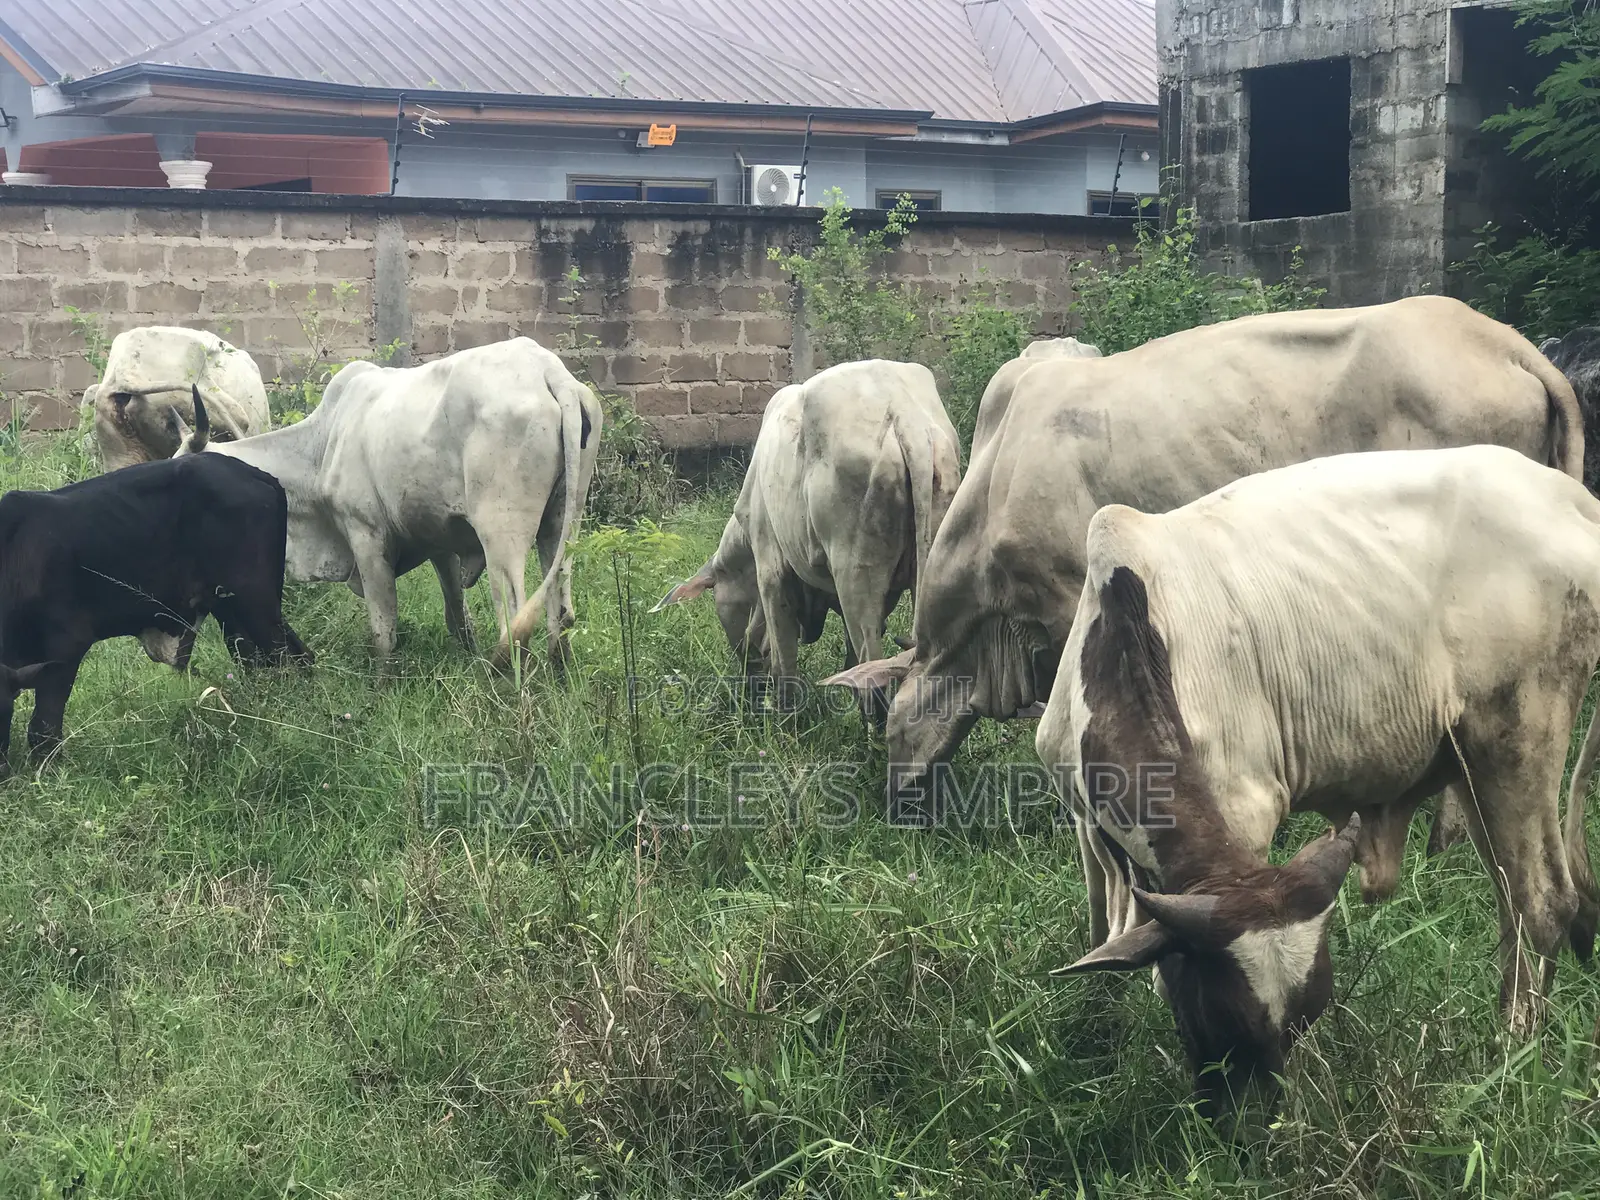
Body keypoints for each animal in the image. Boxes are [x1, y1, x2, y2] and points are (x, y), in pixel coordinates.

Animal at [0, 451, 310, 775]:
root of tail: (256, 474)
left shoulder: (67, 645)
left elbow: (43, 727)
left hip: (255, 599)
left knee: (290, 659)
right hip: (230, 608)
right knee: (260, 661)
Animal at [178, 337, 601, 668]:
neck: (321, 445)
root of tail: (549, 372)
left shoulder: (366, 537)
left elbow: (384, 631)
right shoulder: (439, 542)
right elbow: (457, 615)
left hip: (502, 535)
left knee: (514, 619)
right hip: (563, 524)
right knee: (560, 612)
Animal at [1037, 445, 1600, 1116]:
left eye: (1300, 1023)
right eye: (1220, 1020)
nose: (1258, 1128)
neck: (1126, 634)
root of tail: (1571, 498)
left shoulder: (1244, 815)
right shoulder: (1087, 824)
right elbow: (1105, 926)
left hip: (1517, 738)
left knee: (1544, 903)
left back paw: (1514, 1057)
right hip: (1471, 765)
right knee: (1512, 899)